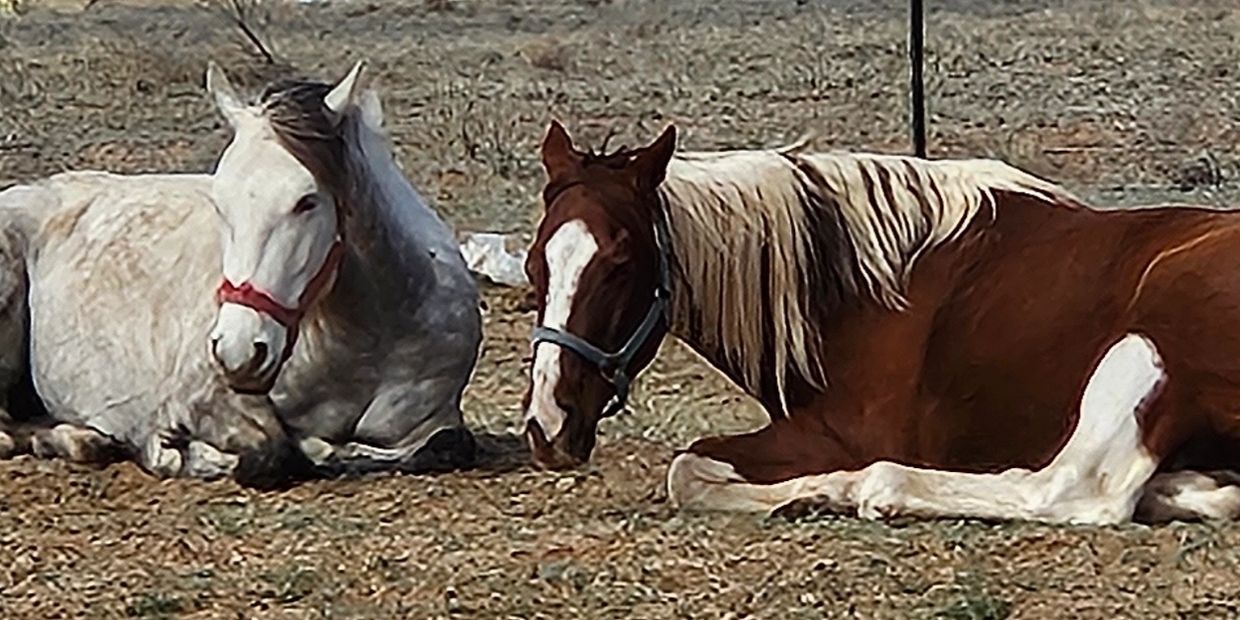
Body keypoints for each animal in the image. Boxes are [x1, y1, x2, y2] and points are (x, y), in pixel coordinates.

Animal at [0, 60, 482, 488]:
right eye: (220, 201)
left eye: (307, 201)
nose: (238, 352)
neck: (365, 341)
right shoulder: (207, 401)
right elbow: (275, 452)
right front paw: (176, 451)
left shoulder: (435, 421)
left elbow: (446, 446)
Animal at [522, 120, 1240, 524]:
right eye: (534, 265)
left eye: (619, 265)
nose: (547, 426)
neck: (852, 290)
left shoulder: (828, 435)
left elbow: (687, 471)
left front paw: (813, 494)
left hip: (1143, 349)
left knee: (1077, 492)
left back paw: (867, 492)